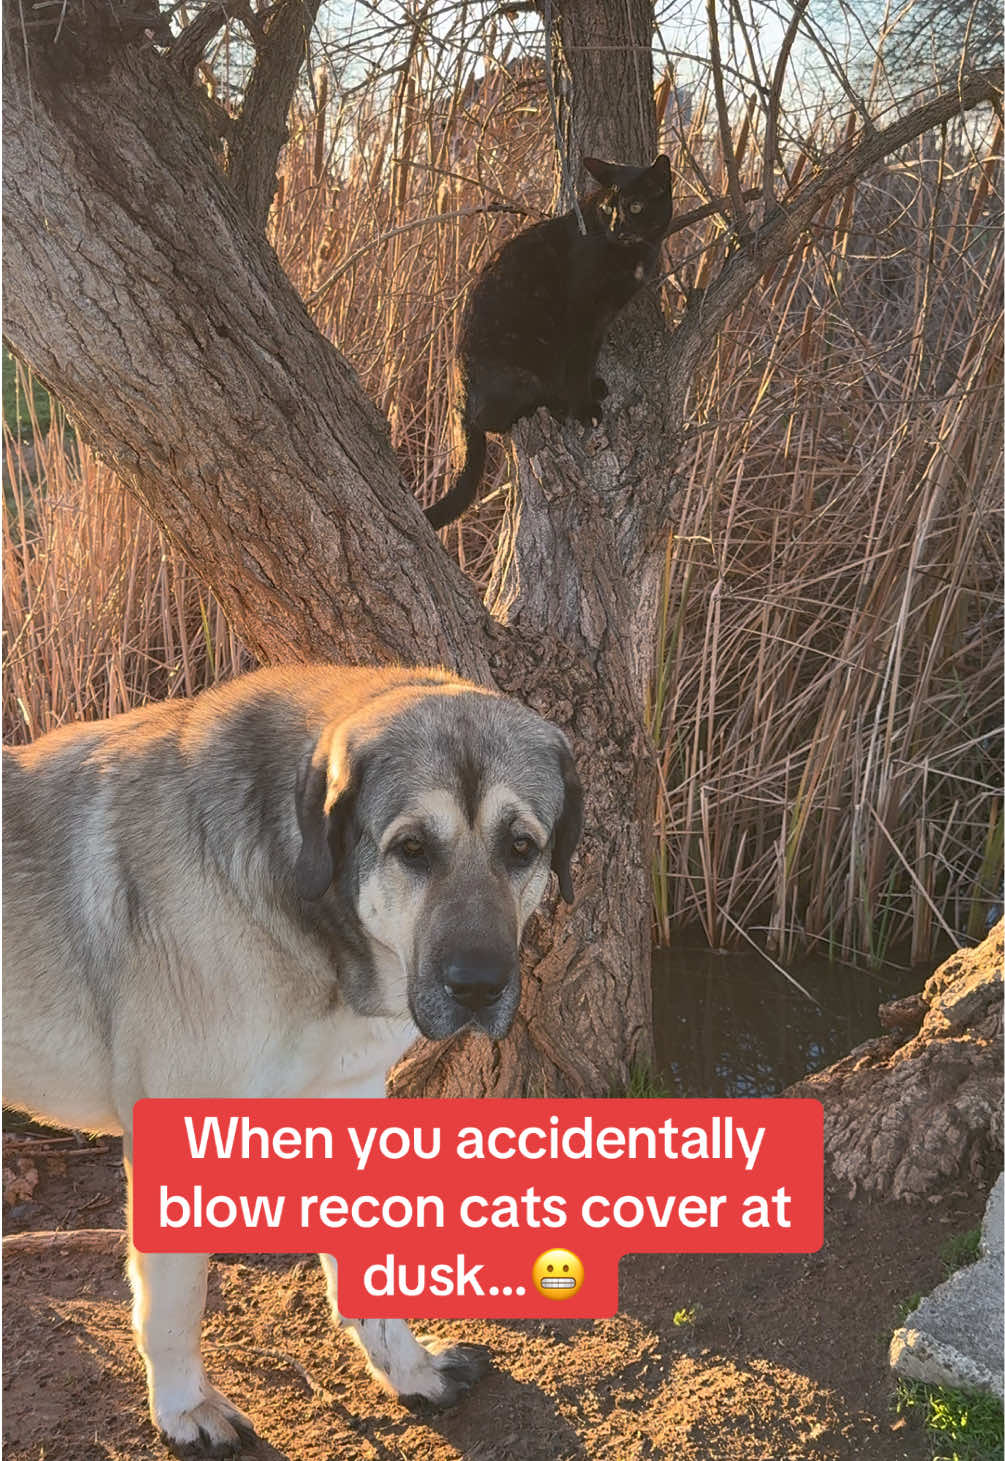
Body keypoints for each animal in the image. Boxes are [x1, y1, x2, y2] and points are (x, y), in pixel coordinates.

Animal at [1, 669, 581, 1455]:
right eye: (412, 848)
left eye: (521, 846)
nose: (478, 985)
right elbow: (174, 1302)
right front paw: (184, 1407)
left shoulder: (349, 1101)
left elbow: (371, 1266)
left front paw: (411, 1373)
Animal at [426, 157, 674, 531]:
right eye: (608, 208)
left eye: (635, 206)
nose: (617, 227)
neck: (631, 253)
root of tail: (459, 402)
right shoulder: (582, 315)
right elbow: (578, 365)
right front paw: (585, 409)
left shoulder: (601, 321)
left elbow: (589, 359)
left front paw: (591, 390)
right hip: (523, 371)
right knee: (497, 419)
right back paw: (554, 404)